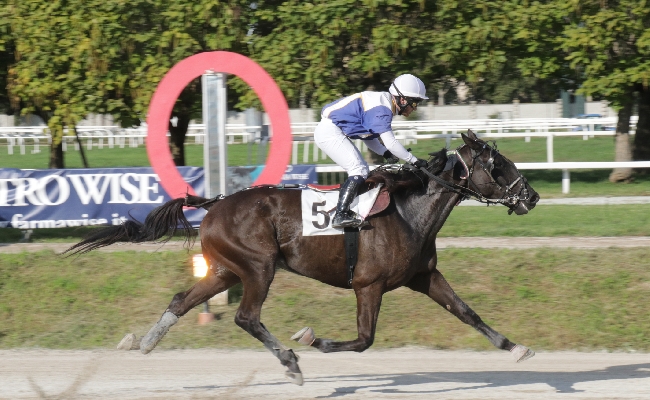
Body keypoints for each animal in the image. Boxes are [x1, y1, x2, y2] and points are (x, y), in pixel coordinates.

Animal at [68, 129, 540, 384]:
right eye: (498, 165)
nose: (531, 197)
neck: (409, 212)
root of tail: (214, 204)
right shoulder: (368, 285)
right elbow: (364, 340)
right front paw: (312, 339)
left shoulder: (423, 276)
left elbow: (466, 312)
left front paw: (515, 347)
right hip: (258, 266)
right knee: (247, 317)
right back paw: (290, 362)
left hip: (226, 270)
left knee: (182, 300)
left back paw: (147, 342)